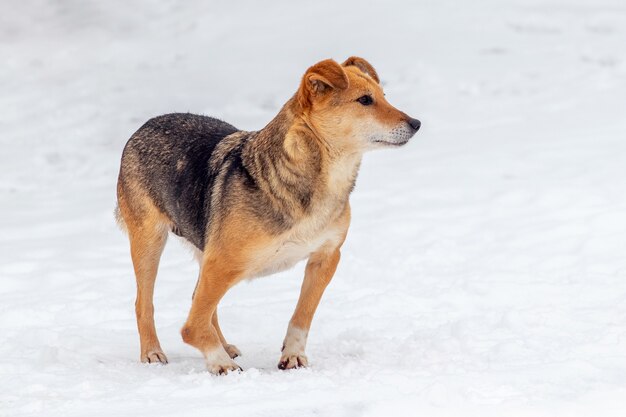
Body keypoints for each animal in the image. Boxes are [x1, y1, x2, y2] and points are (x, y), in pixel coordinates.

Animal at [116, 56, 420, 374]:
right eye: (365, 100)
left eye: (384, 96)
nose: (416, 123)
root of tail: (146, 124)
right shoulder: (223, 263)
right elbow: (191, 328)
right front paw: (219, 363)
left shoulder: (326, 257)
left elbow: (302, 315)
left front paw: (293, 355)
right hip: (150, 242)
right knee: (146, 303)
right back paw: (153, 352)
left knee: (200, 302)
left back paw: (224, 345)